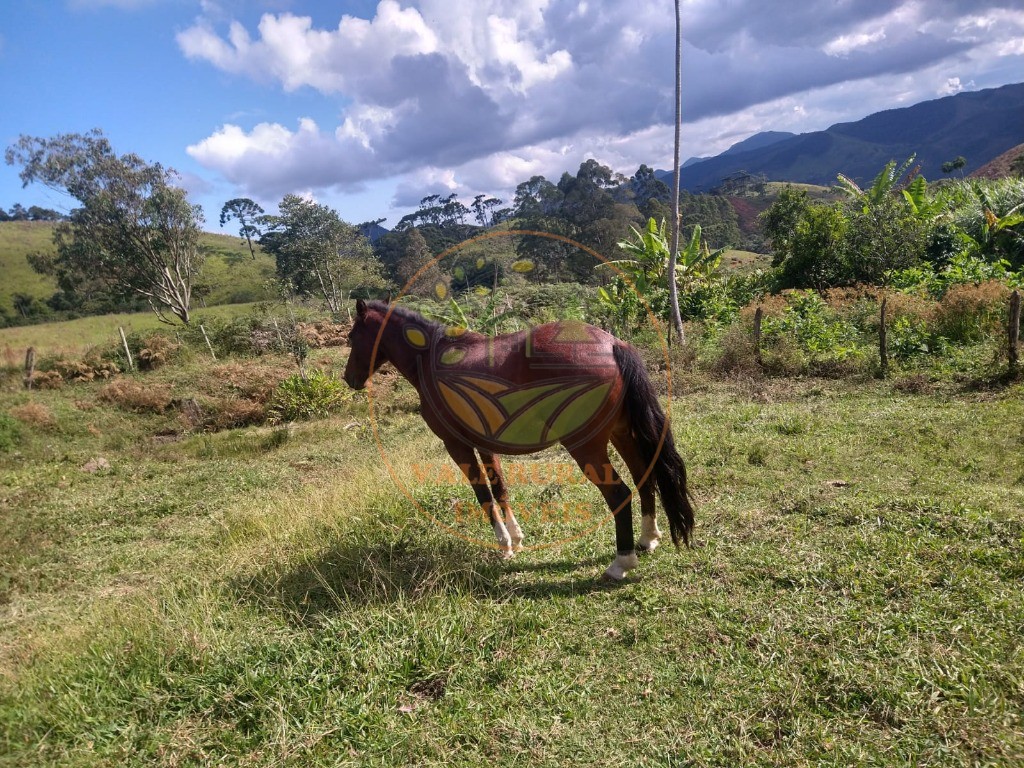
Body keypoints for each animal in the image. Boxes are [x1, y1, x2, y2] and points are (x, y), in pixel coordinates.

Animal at [344, 299, 696, 577]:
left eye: (350, 337)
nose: (349, 379)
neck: (432, 358)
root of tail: (611, 345)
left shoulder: (457, 447)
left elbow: (483, 495)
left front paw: (504, 546)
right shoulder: (485, 445)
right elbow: (499, 488)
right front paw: (516, 538)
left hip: (587, 448)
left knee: (619, 494)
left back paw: (621, 562)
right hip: (622, 434)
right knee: (644, 476)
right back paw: (648, 539)